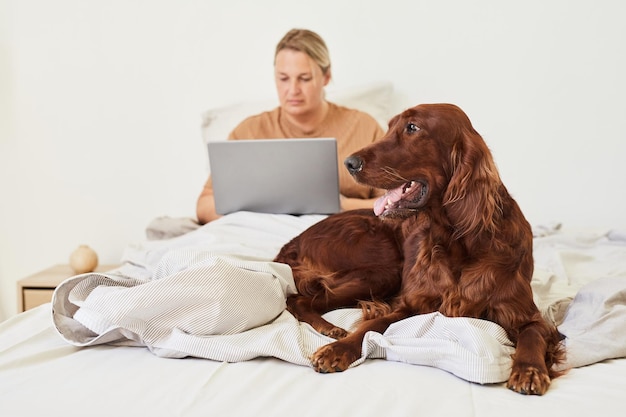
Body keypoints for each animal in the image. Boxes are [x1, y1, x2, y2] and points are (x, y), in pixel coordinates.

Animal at [272, 103, 560, 394]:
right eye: (389, 127)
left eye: (412, 127)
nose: (349, 163)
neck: (457, 241)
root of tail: (293, 242)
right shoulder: (411, 303)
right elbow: (371, 327)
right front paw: (337, 349)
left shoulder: (525, 314)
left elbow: (533, 334)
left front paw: (530, 370)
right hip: (384, 273)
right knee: (297, 299)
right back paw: (331, 329)